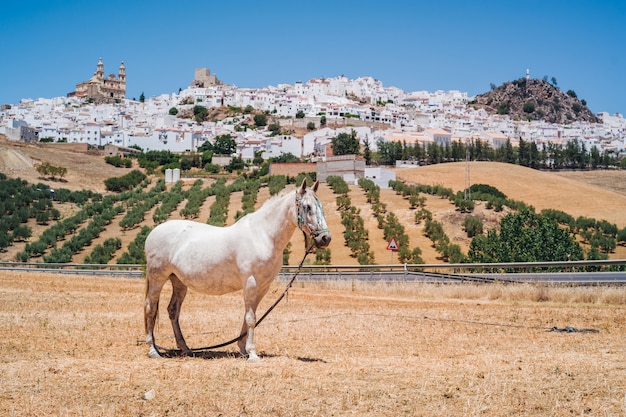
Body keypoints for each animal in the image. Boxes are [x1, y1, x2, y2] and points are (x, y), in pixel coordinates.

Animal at [143, 179, 330, 360]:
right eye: (307, 207)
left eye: (321, 206)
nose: (325, 238)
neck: (262, 236)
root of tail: (154, 232)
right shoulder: (250, 283)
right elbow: (251, 318)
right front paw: (252, 353)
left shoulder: (262, 287)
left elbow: (250, 316)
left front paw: (243, 349)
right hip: (157, 278)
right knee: (150, 308)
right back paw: (153, 350)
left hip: (178, 281)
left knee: (173, 311)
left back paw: (186, 349)